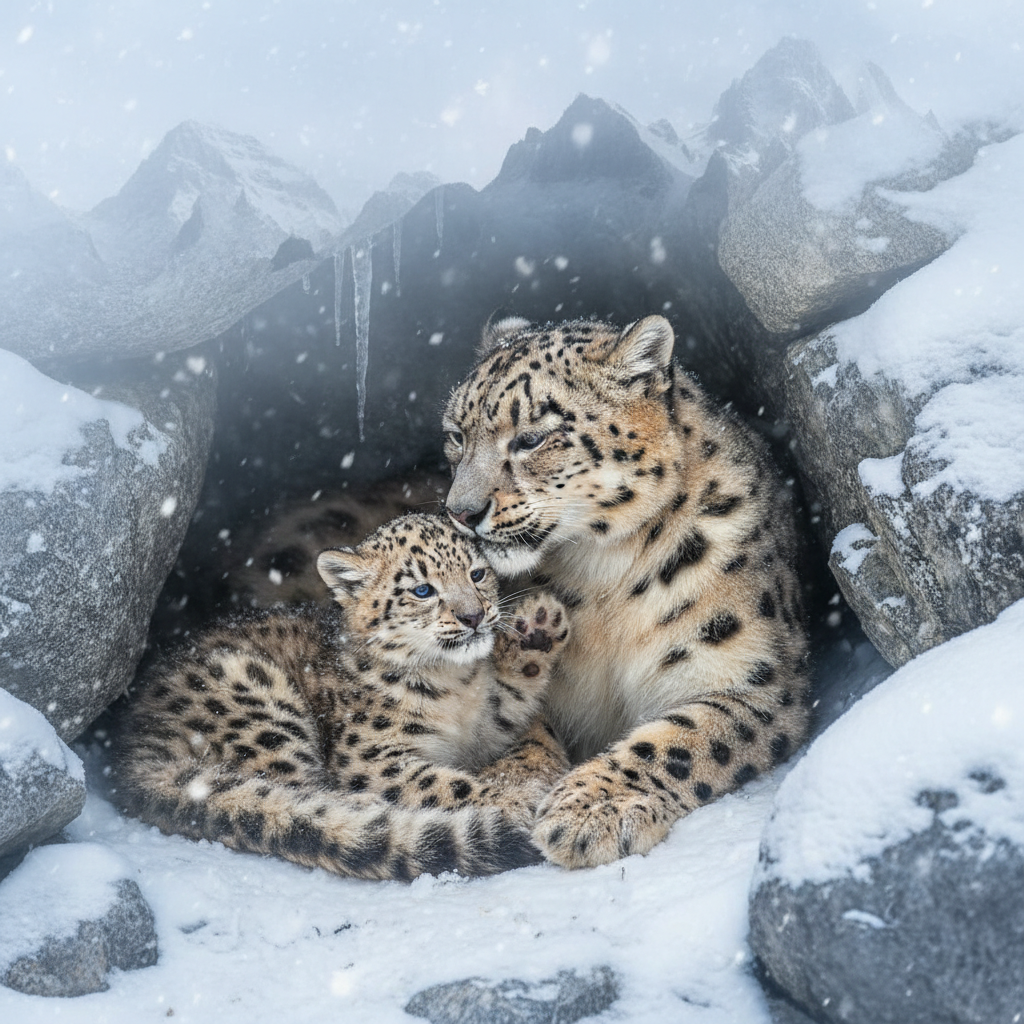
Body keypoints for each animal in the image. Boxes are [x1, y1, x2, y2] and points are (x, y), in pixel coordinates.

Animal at [115, 513, 571, 881]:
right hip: (255, 704)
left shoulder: (485, 722)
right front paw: (520, 796)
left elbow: (506, 702)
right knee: (300, 795)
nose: (473, 616)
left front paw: (539, 624)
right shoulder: (372, 757)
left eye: (477, 574)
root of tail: (134, 748)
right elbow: (445, 782)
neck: (454, 684)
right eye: (422, 590)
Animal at [442, 314, 811, 869]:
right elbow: (518, 726)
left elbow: (681, 741)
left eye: (531, 438)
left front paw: (591, 809)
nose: (461, 512)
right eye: (455, 436)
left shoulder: (754, 678)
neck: (601, 579)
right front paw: (506, 792)